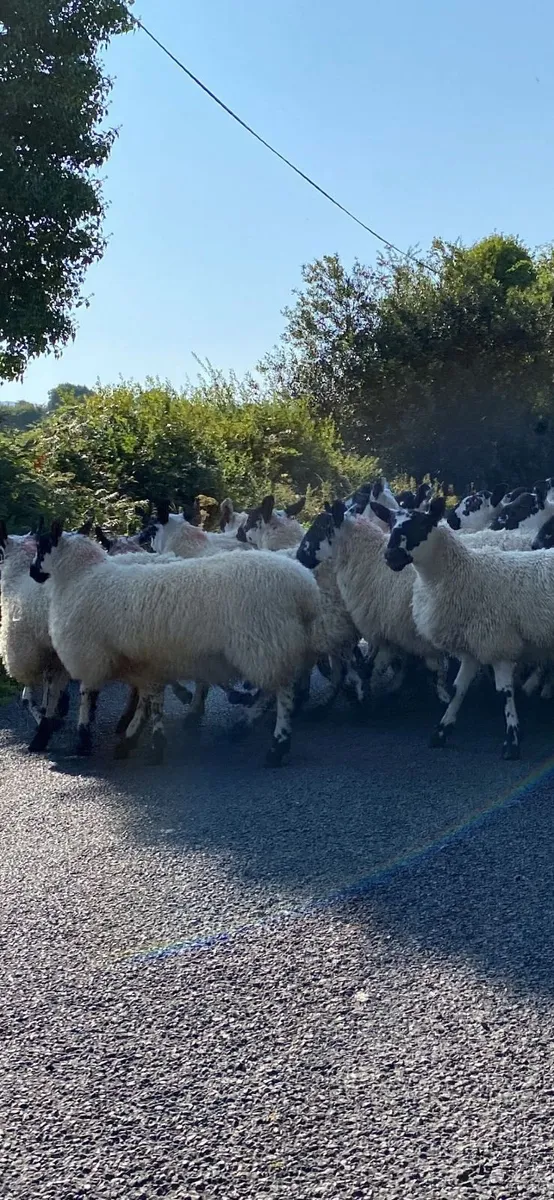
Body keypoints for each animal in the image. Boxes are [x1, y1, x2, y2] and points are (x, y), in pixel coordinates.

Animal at [29, 522, 323, 767]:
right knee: (274, 688)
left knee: (282, 691)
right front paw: (139, 741)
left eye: (42, 546)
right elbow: (151, 700)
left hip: (264, 643)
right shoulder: (145, 661)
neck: (80, 578)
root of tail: (305, 587)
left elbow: (87, 698)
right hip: (271, 645)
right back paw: (246, 726)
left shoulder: (91, 655)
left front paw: (82, 740)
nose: (32, 573)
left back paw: (276, 745)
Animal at [382, 496, 554, 759]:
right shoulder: (473, 647)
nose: (391, 557)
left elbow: (505, 692)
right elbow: (457, 689)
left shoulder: (498, 642)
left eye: (422, 525)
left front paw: (512, 742)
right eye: (391, 524)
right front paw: (441, 732)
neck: (463, 572)